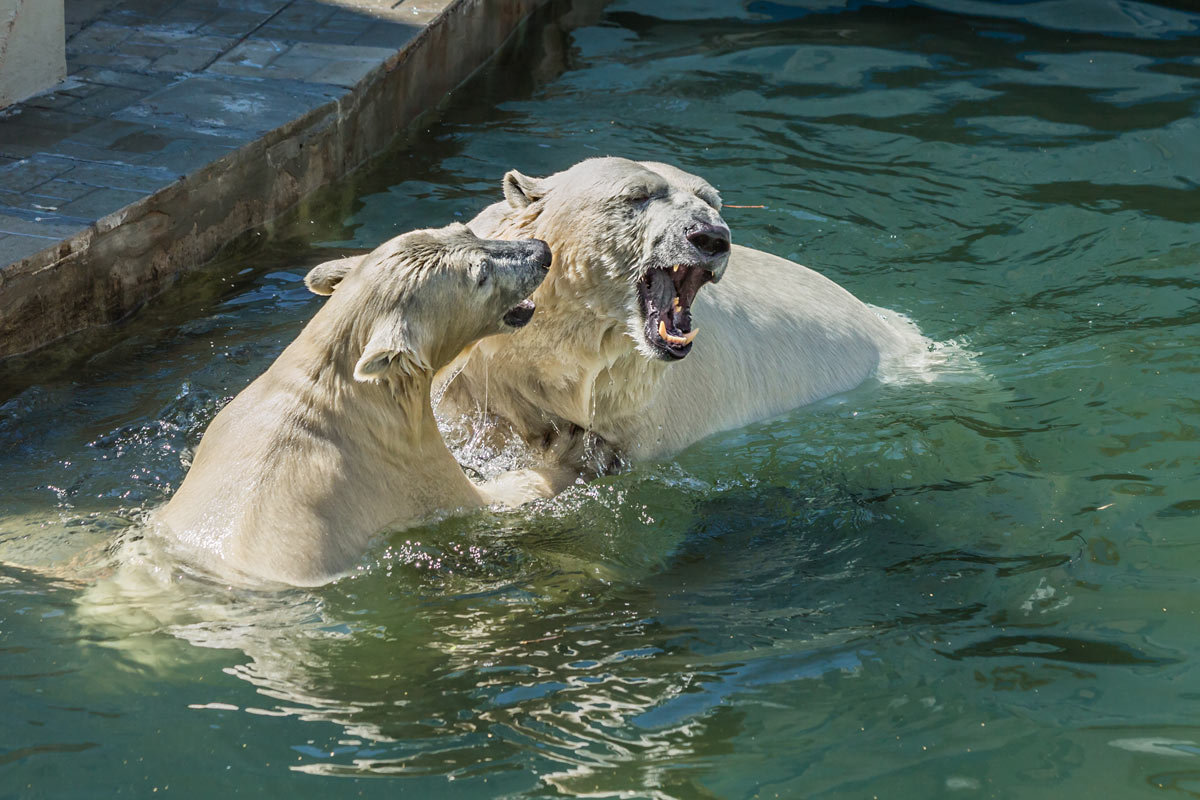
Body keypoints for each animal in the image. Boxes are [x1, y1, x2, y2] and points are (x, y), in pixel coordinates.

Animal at [151, 221, 556, 585]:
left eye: (466, 230)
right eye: (481, 275)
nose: (542, 252)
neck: (325, 388)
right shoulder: (406, 469)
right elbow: (497, 497)